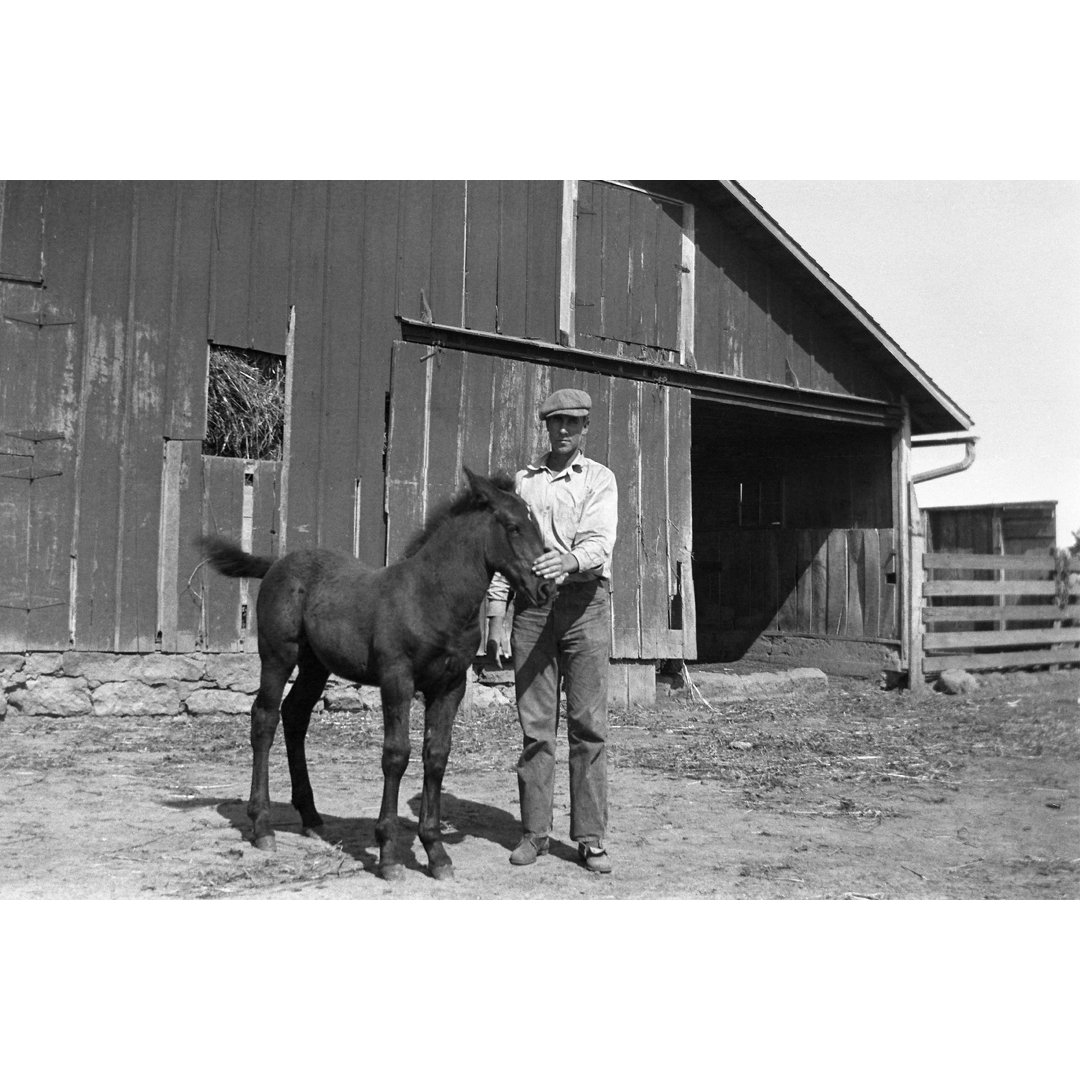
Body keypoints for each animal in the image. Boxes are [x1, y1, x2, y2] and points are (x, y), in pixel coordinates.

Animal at [200, 468, 557, 881]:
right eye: (514, 527)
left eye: (538, 525)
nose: (546, 587)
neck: (432, 596)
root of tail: (277, 564)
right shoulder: (397, 679)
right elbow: (396, 755)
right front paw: (388, 854)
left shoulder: (450, 685)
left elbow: (437, 755)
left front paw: (436, 853)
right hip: (277, 656)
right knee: (265, 719)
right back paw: (262, 827)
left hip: (315, 665)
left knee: (295, 716)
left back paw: (311, 816)